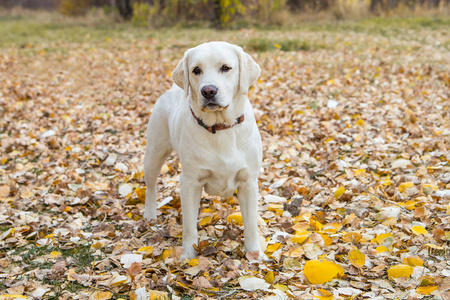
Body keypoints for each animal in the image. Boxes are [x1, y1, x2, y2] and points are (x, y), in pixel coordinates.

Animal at [143, 41, 264, 258]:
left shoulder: (249, 181)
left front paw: (255, 255)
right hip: (153, 154)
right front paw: (188, 256)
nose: (208, 91)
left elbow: (251, 224)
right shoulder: (190, 182)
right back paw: (149, 215)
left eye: (226, 67)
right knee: (151, 186)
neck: (220, 127)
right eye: (196, 70)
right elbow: (189, 225)